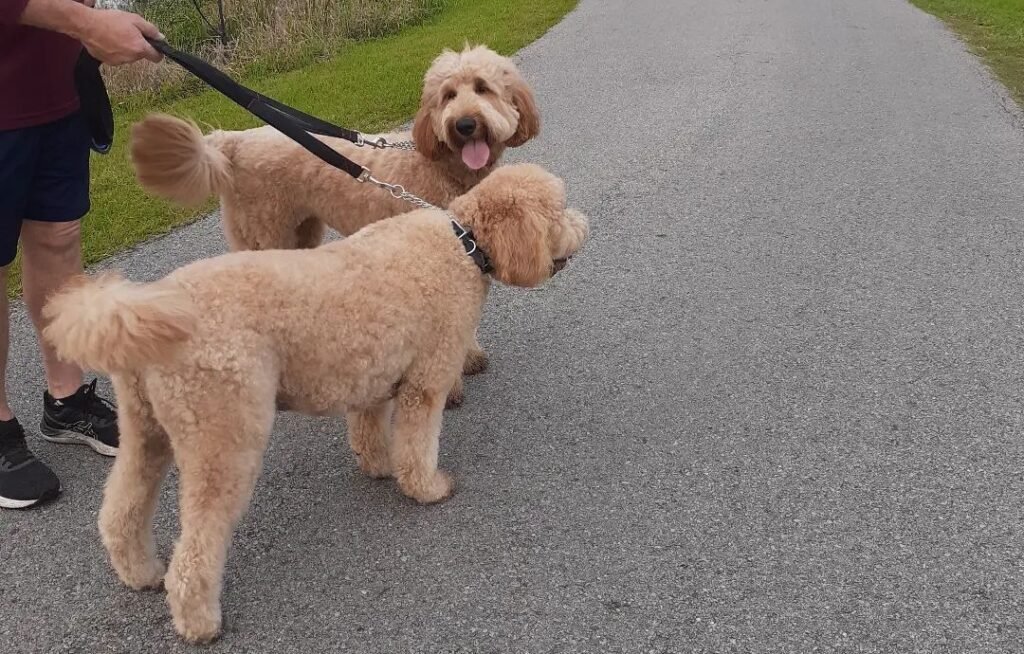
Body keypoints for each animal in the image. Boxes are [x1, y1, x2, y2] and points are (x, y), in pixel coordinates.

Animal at [44, 163, 589, 646]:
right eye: (558, 211)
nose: (585, 226)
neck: (462, 244)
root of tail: (146, 308)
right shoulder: (426, 382)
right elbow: (417, 447)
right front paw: (427, 489)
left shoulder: (371, 377)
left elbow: (370, 433)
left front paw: (378, 467)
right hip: (224, 434)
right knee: (197, 548)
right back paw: (199, 622)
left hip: (145, 427)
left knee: (121, 510)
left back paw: (140, 572)